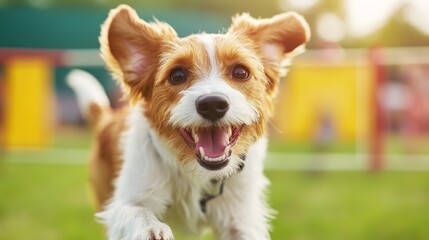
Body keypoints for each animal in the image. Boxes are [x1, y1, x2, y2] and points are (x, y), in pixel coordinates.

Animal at [67, 4, 308, 240]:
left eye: (240, 72)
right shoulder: (127, 198)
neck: (194, 172)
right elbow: (138, 212)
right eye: (177, 75)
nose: (212, 104)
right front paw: (152, 229)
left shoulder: (239, 218)